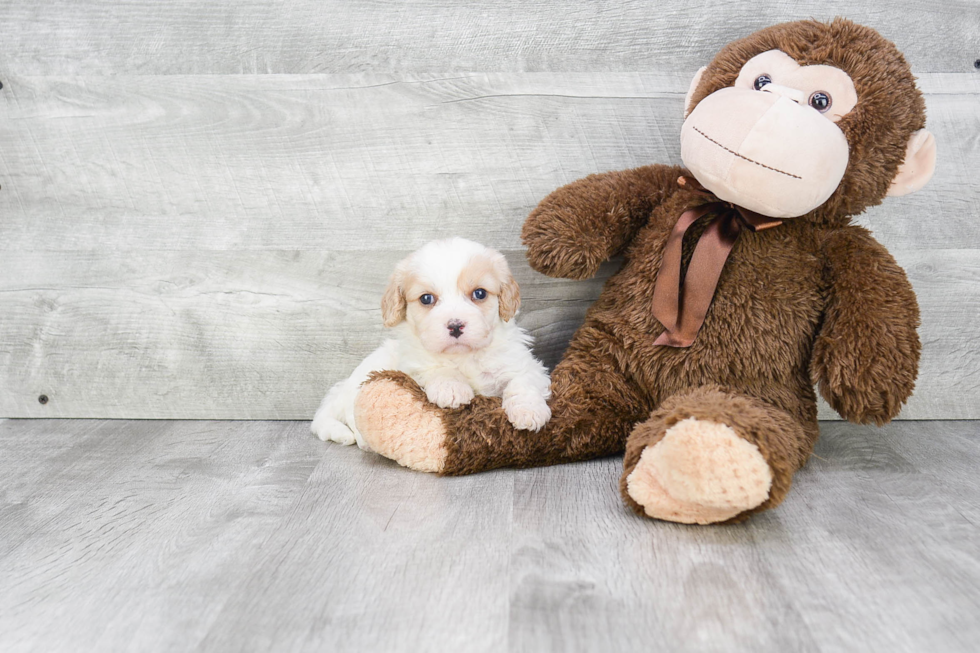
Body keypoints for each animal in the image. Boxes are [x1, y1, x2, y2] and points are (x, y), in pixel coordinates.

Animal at [312, 238, 552, 448]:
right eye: (426, 299)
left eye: (479, 293)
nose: (455, 326)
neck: (463, 356)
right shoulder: (414, 365)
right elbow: (436, 369)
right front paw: (452, 388)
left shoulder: (522, 363)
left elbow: (523, 382)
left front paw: (529, 412)